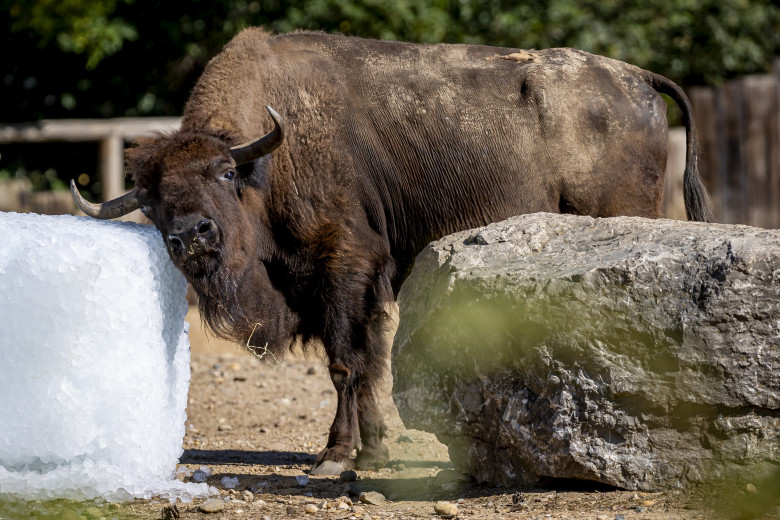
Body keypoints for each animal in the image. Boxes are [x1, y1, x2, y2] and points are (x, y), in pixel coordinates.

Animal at [71, 27, 712, 476]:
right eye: (149, 200)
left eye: (225, 173)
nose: (193, 236)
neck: (270, 159)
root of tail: (638, 78)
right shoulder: (354, 285)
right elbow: (367, 361)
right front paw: (370, 449)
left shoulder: (346, 267)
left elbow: (345, 363)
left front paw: (336, 455)